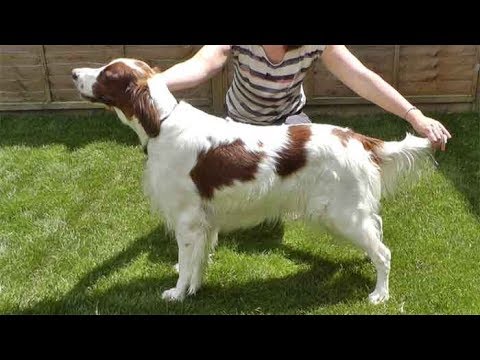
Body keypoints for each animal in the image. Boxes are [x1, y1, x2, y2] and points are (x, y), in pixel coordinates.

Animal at [71, 58, 436, 304]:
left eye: (107, 74)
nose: (74, 73)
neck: (161, 123)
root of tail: (358, 139)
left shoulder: (187, 219)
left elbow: (187, 262)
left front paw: (177, 293)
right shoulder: (204, 221)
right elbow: (199, 261)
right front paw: (195, 288)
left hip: (342, 214)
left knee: (384, 253)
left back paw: (379, 294)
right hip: (349, 211)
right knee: (377, 232)